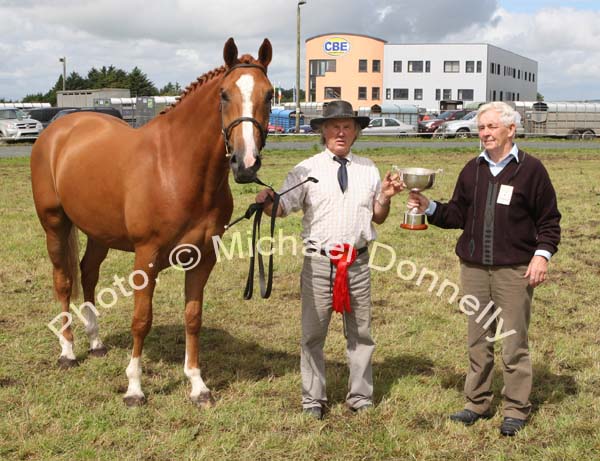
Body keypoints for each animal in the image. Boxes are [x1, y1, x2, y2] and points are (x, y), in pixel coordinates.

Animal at [28, 38, 272, 406]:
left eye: (269, 95)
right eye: (224, 94)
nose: (245, 164)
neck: (174, 167)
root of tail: (57, 131)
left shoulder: (204, 257)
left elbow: (193, 317)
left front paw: (197, 385)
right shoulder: (147, 257)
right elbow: (141, 320)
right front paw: (134, 388)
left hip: (99, 233)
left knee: (87, 273)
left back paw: (96, 343)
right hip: (54, 224)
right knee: (63, 281)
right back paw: (68, 351)